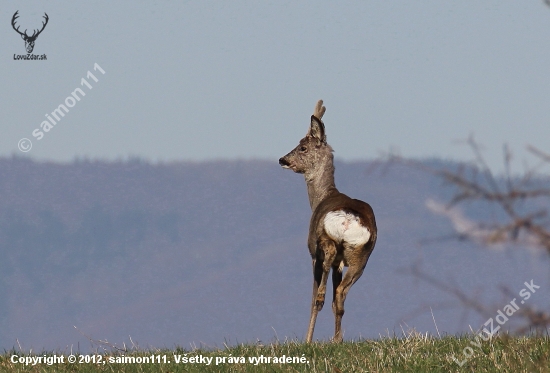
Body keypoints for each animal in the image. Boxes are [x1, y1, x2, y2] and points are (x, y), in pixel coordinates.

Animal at [280, 99, 380, 342]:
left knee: (322, 295)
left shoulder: (312, 252)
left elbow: (313, 299)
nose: (282, 159)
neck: (323, 197)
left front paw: (307, 340)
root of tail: (347, 220)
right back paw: (337, 339)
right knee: (340, 295)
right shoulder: (341, 264)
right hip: (361, 256)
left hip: (324, 242)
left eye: (302, 147)